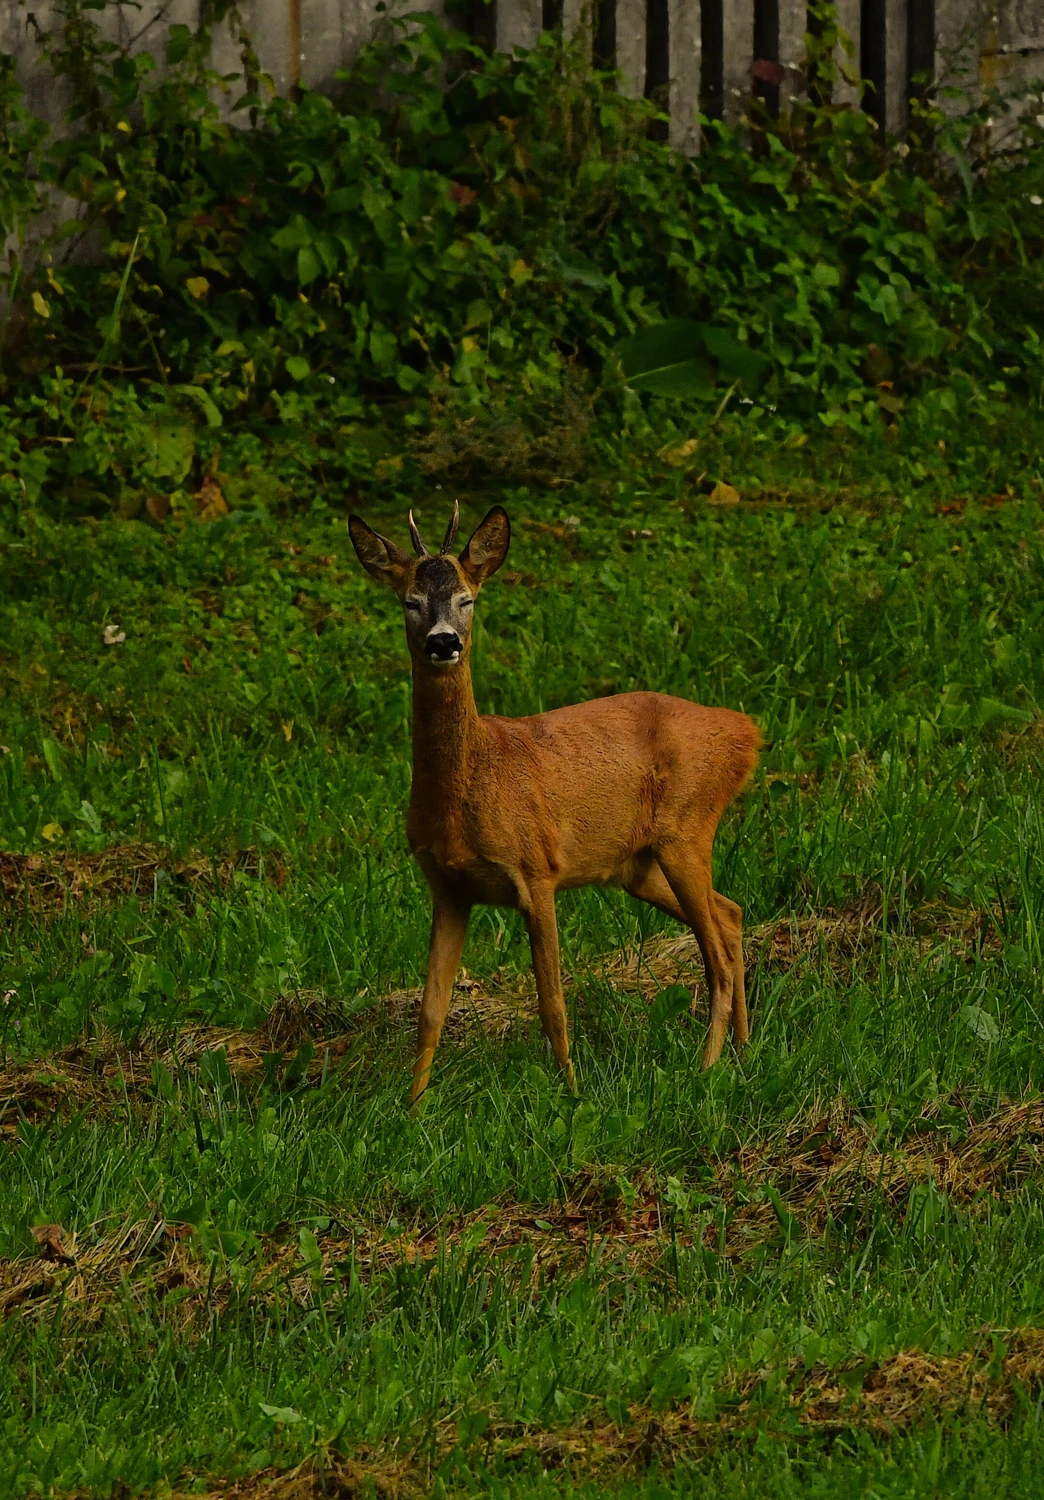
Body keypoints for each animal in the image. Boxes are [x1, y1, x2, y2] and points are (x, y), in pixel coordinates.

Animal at [351, 504, 759, 1104]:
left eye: (468, 598)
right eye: (410, 601)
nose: (444, 642)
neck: (473, 783)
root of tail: (748, 733)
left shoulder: (536, 870)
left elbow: (552, 1005)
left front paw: (571, 1092)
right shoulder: (448, 889)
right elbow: (430, 1012)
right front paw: (412, 1106)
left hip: (687, 829)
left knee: (717, 954)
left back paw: (704, 1070)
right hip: (638, 865)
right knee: (730, 915)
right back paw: (743, 1052)